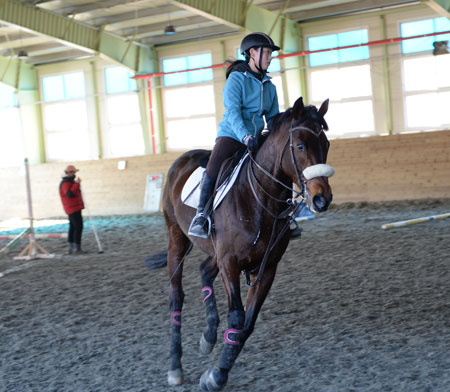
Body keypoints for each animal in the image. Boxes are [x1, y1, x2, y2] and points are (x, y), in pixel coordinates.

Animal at [159, 96, 334, 390]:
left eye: (327, 145)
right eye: (300, 145)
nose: (322, 199)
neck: (259, 200)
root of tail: (182, 159)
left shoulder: (266, 267)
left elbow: (248, 323)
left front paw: (218, 371)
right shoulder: (230, 263)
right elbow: (238, 317)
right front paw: (216, 377)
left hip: (214, 252)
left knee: (205, 270)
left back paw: (208, 336)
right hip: (177, 239)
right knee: (176, 297)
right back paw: (174, 367)